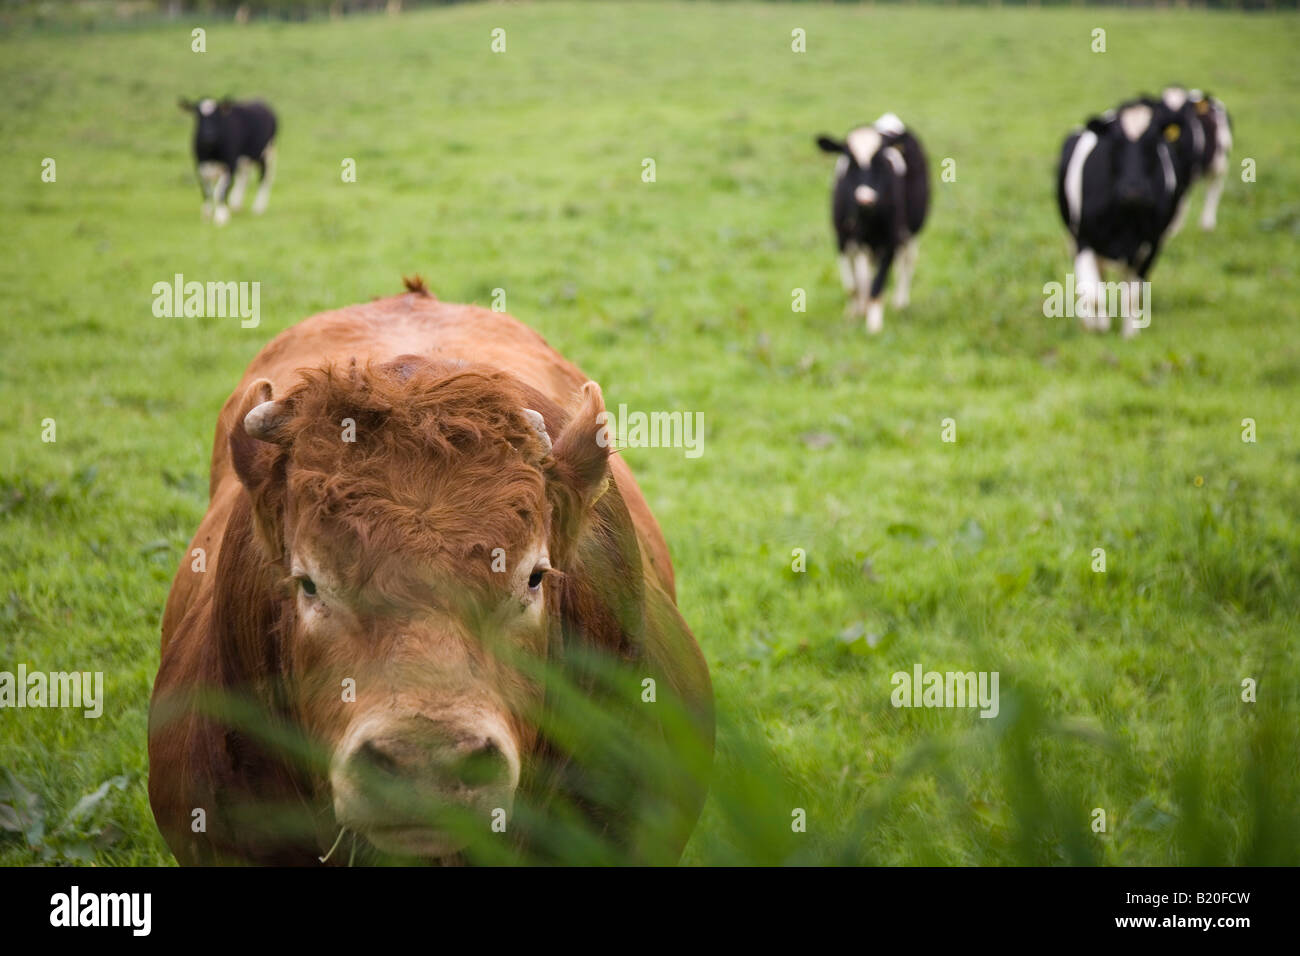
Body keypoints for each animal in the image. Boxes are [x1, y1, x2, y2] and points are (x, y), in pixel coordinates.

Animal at [179, 98, 278, 227]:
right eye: (198, 116)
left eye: (216, 116)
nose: (208, 135)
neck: (211, 152)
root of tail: (261, 100)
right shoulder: (200, 167)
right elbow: (206, 191)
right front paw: (207, 214)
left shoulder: (229, 165)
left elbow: (219, 192)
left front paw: (221, 217)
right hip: (245, 160)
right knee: (244, 177)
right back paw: (236, 204)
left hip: (266, 152)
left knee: (264, 177)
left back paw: (258, 207)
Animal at [816, 115, 930, 335]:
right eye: (850, 161)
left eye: (881, 161)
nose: (865, 198)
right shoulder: (843, 240)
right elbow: (854, 284)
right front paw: (854, 313)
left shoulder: (891, 240)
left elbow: (877, 284)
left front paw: (874, 325)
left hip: (912, 231)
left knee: (907, 262)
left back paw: (900, 302)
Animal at [1055, 99, 1190, 338]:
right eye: (1116, 142)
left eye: (1153, 141)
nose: (1134, 190)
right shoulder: (1083, 239)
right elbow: (1094, 295)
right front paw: (1098, 325)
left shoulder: (1152, 243)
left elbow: (1133, 294)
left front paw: (1130, 335)